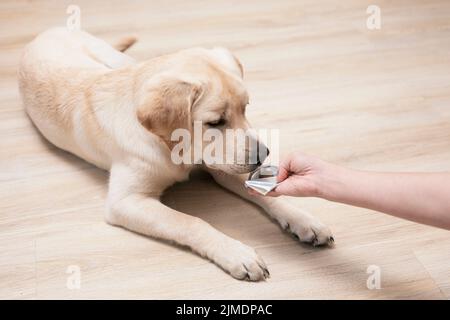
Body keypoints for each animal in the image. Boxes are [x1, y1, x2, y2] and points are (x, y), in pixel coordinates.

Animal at [19, 28, 332, 282]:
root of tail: (44, 33)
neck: (175, 147)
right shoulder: (126, 202)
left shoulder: (220, 166)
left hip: (112, 57)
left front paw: (303, 219)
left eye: (245, 108)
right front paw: (236, 253)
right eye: (216, 122)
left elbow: (267, 194)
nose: (263, 154)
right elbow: (191, 222)